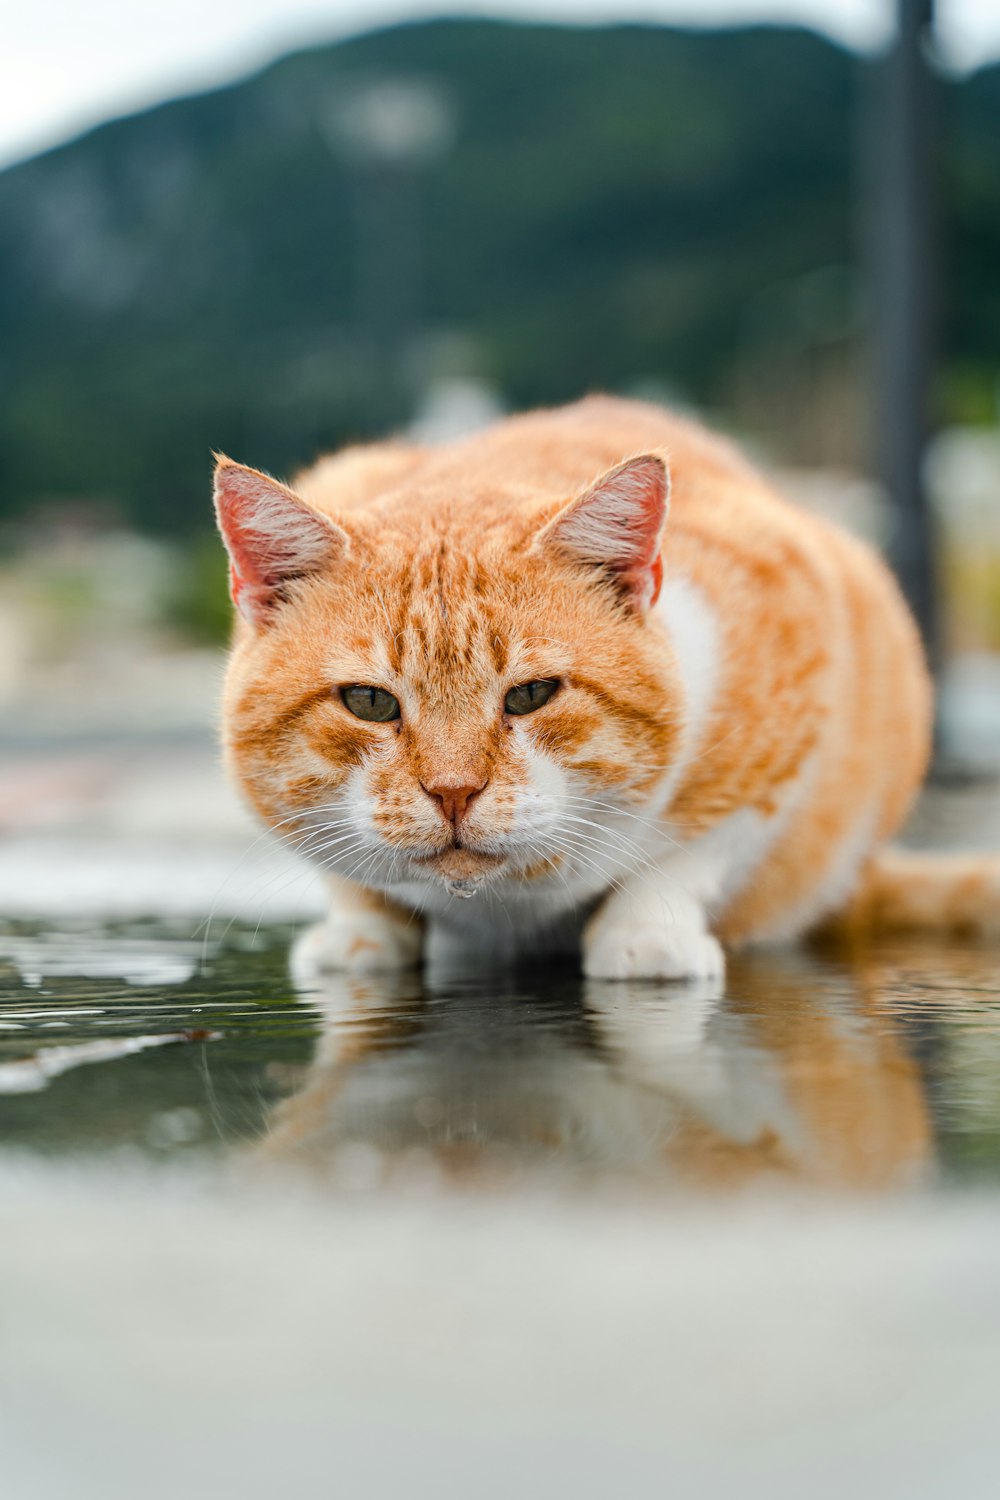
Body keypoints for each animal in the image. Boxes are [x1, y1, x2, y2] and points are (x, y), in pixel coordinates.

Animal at [212, 393, 1000, 978]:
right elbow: (352, 881)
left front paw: (647, 935)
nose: (454, 792)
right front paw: (360, 932)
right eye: (370, 702)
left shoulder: (799, 658)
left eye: (532, 695)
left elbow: (697, 845)